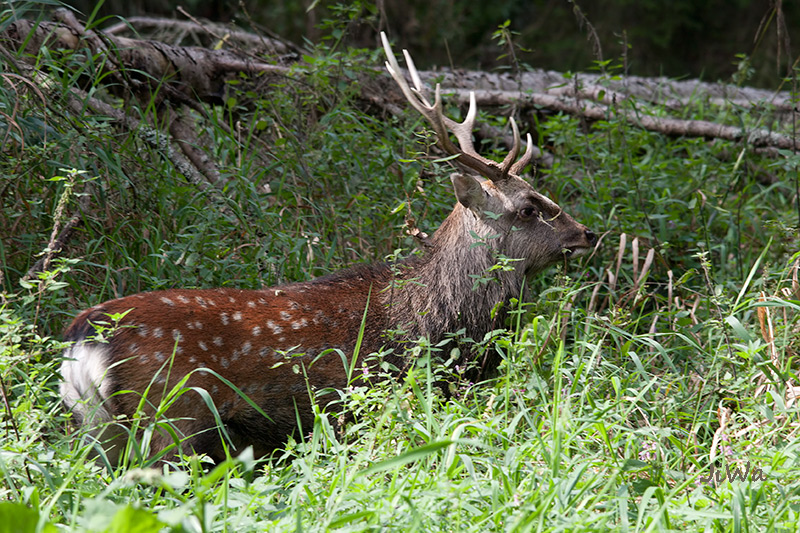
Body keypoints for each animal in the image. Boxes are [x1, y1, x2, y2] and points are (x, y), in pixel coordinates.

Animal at [59, 33, 597, 465]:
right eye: (528, 208)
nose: (586, 234)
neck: (441, 321)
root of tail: (84, 342)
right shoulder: (370, 395)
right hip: (169, 418)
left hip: (97, 430)